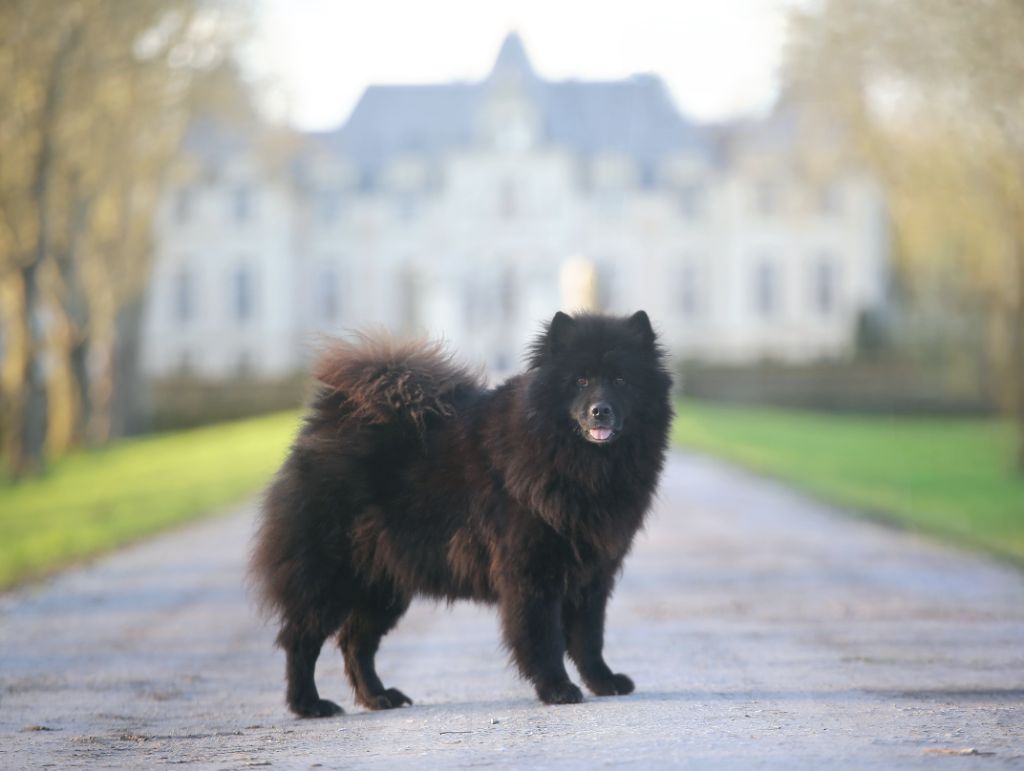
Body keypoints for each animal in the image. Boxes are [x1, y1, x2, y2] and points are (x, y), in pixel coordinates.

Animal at [249, 309, 671, 716]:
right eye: (580, 381)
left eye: (620, 380)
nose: (600, 411)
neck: (579, 463)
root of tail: (331, 418)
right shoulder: (531, 573)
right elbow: (543, 638)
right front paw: (557, 688)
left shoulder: (594, 573)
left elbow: (588, 638)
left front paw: (603, 681)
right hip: (329, 577)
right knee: (301, 641)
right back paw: (309, 704)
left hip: (382, 584)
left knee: (356, 644)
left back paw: (379, 697)